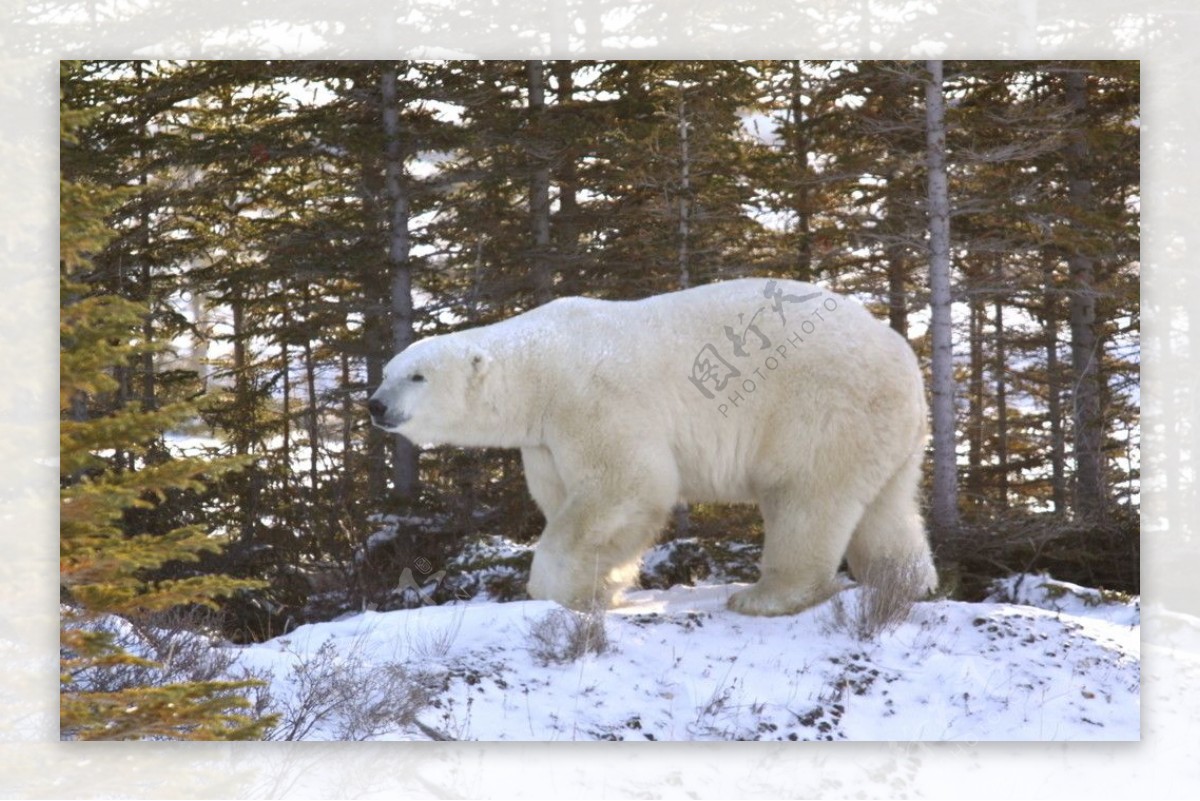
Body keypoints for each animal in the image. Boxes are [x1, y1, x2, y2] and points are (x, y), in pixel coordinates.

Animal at [364, 278, 936, 618]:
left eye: (416, 376)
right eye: (388, 371)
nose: (375, 405)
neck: (540, 369)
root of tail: (903, 355)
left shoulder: (594, 399)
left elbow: (628, 485)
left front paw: (555, 588)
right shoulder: (545, 440)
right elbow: (567, 498)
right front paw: (601, 586)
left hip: (821, 406)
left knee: (804, 496)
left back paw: (763, 595)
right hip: (888, 430)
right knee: (889, 508)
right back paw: (909, 584)